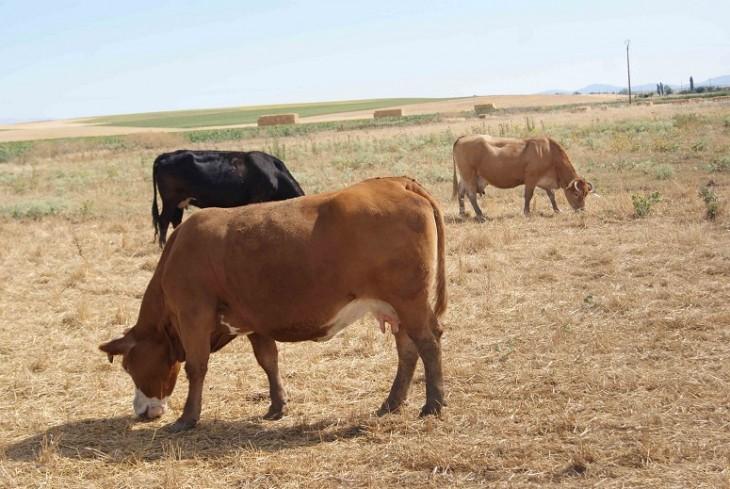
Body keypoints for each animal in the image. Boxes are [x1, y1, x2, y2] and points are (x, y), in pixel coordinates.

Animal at [100, 176, 447, 432]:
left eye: (129, 366)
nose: (140, 412)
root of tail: (398, 182)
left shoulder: (193, 315)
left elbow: (196, 367)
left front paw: (187, 418)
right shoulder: (252, 320)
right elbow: (269, 361)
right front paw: (277, 406)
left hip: (409, 301)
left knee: (428, 343)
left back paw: (432, 404)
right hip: (395, 307)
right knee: (407, 351)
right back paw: (391, 404)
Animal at [152, 149, 305, 247]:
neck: (274, 173)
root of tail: (165, 155)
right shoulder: (258, 199)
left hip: (180, 202)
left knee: (175, 221)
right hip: (170, 200)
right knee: (163, 221)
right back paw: (163, 247)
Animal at [452, 135, 594, 220]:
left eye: (586, 194)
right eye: (576, 194)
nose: (582, 210)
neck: (549, 153)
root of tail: (463, 137)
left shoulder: (545, 182)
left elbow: (551, 196)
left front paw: (557, 210)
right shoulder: (531, 179)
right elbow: (528, 196)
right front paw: (527, 212)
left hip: (465, 177)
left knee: (461, 193)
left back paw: (462, 213)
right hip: (469, 175)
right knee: (471, 195)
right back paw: (481, 215)